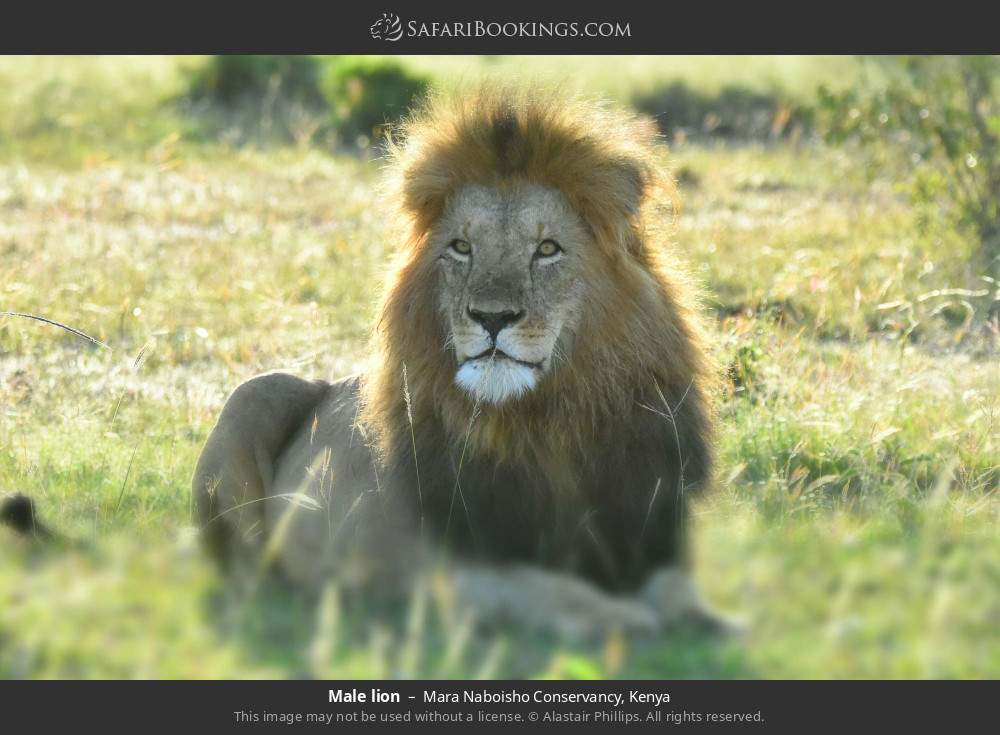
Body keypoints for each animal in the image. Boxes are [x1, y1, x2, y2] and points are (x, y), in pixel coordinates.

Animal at [192, 85, 732, 640]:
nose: (492, 316)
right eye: (461, 247)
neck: (551, 423)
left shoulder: (650, 526)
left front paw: (711, 619)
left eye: (547, 249)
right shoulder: (447, 563)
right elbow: (541, 589)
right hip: (253, 394)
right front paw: (620, 619)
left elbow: (676, 585)